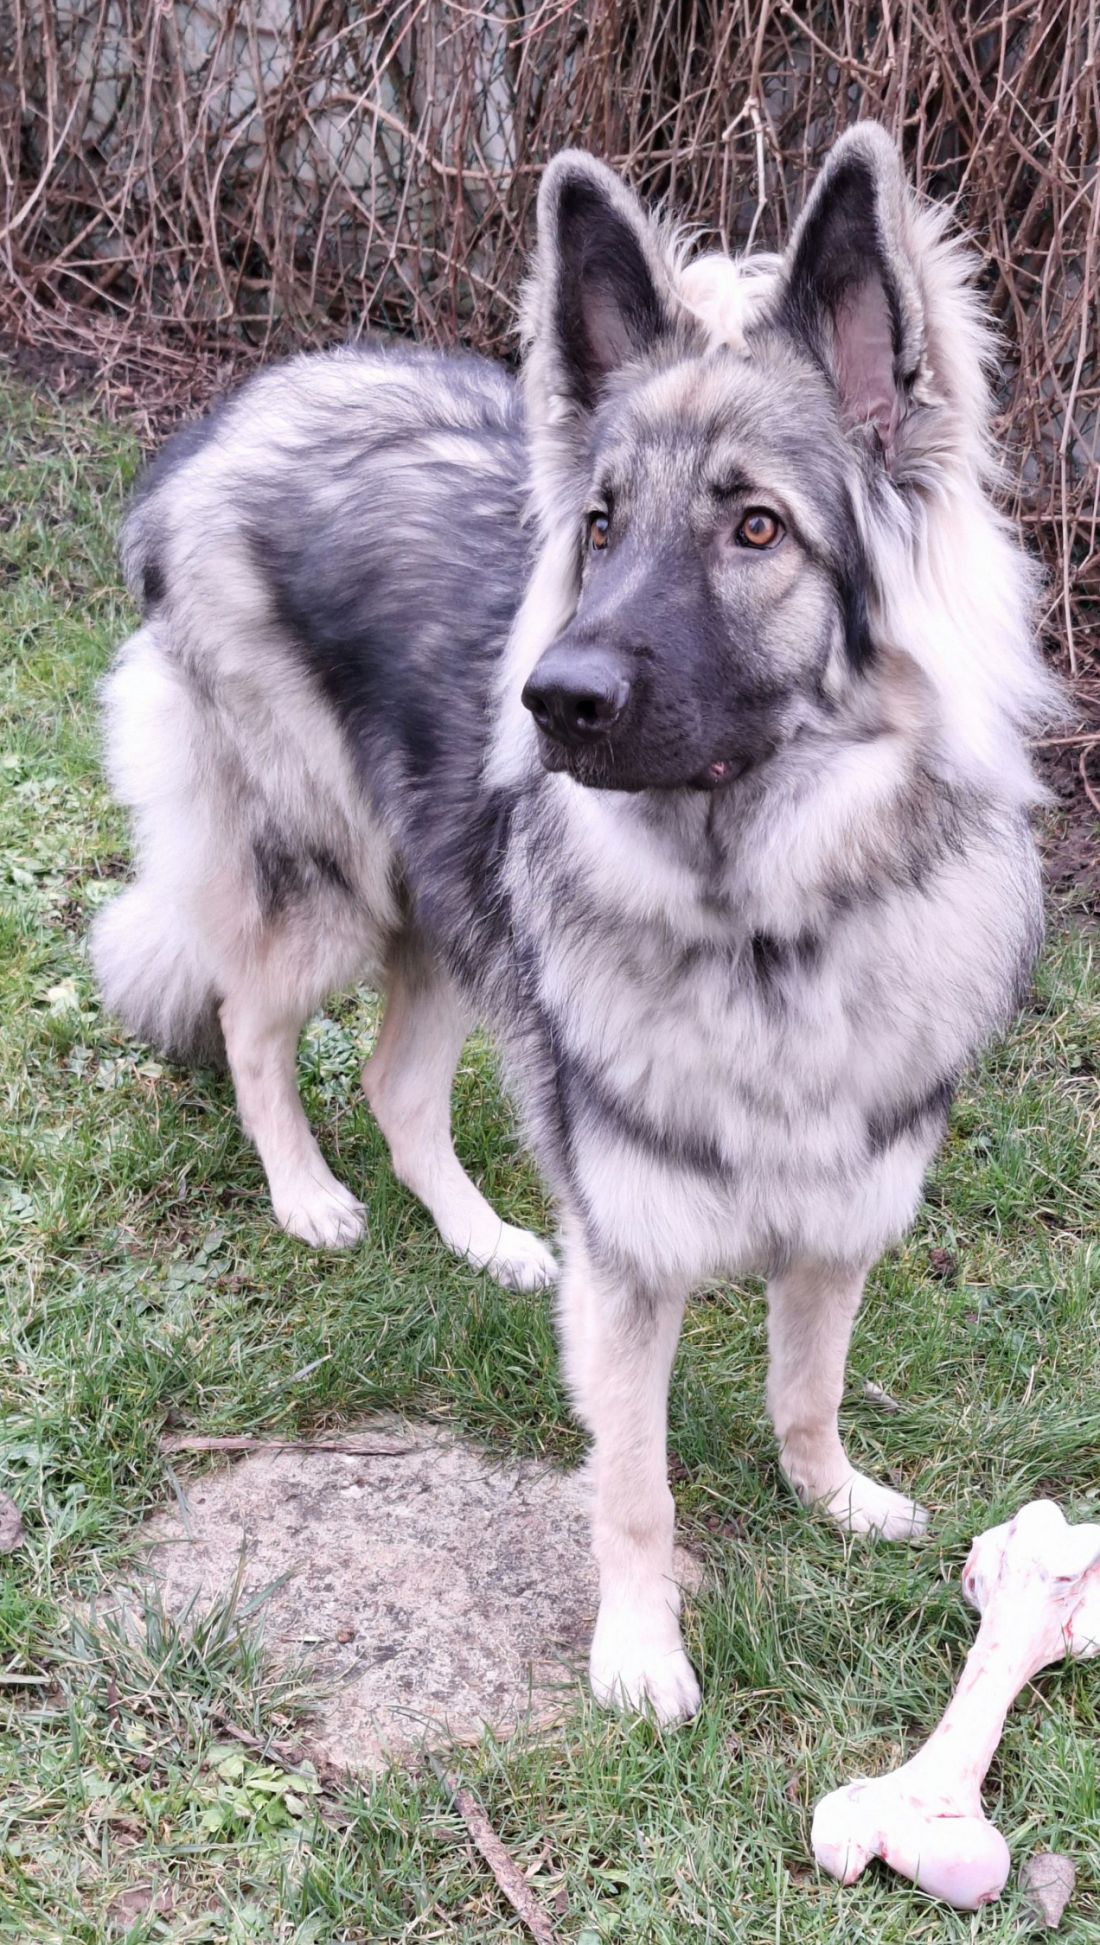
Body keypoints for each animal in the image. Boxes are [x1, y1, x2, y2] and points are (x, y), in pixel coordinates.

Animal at [93, 125, 1055, 1721]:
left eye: (755, 528)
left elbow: (807, 1385)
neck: (763, 928)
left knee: (395, 1084)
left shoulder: (841, 1213)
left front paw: (831, 1493)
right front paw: (641, 1651)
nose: (551, 700)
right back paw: (305, 1194)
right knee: (249, 1021)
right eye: (599, 527)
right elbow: (636, 1485)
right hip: (337, 883)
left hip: (448, 916)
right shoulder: (631, 1260)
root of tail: (246, 406)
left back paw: (483, 1237)